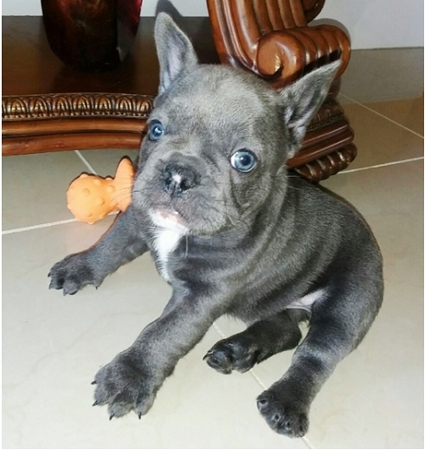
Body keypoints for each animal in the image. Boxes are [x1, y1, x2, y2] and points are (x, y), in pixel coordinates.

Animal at [48, 14, 382, 440]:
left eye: (244, 160)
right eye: (155, 129)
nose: (178, 174)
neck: (179, 232)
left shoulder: (202, 296)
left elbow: (165, 332)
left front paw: (130, 377)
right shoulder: (138, 217)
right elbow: (110, 245)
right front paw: (81, 267)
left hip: (349, 301)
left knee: (316, 353)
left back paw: (285, 400)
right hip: (277, 299)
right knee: (286, 329)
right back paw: (236, 351)